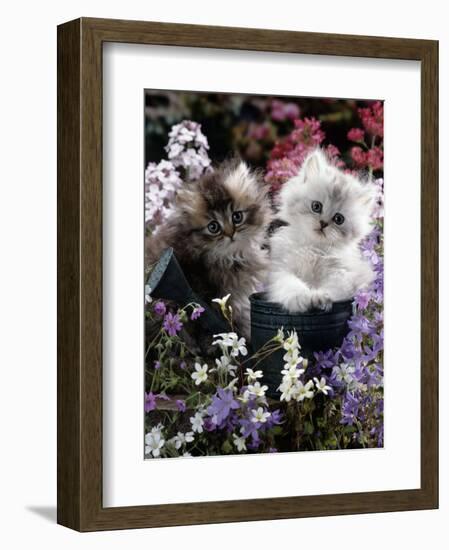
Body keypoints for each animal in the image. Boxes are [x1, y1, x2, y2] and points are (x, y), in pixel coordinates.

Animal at [268, 150, 376, 314]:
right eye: (316, 206)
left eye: (338, 219)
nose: (323, 223)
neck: (314, 248)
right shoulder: (281, 270)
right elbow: (291, 284)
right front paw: (303, 298)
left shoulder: (343, 275)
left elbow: (333, 289)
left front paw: (320, 297)